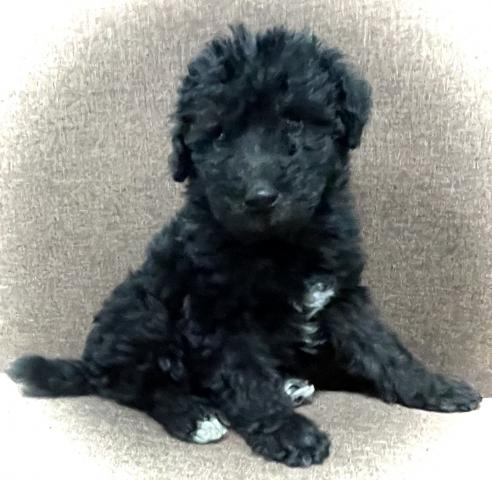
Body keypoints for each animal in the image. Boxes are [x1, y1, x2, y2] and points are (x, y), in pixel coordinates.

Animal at [7, 25, 481, 467]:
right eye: (218, 136)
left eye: (294, 121)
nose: (259, 197)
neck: (278, 243)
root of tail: (91, 363)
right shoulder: (218, 313)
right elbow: (247, 379)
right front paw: (289, 433)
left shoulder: (341, 293)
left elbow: (382, 347)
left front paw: (433, 387)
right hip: (140, 310)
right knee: (136, 384)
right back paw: (194, 415)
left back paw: (288, 385)